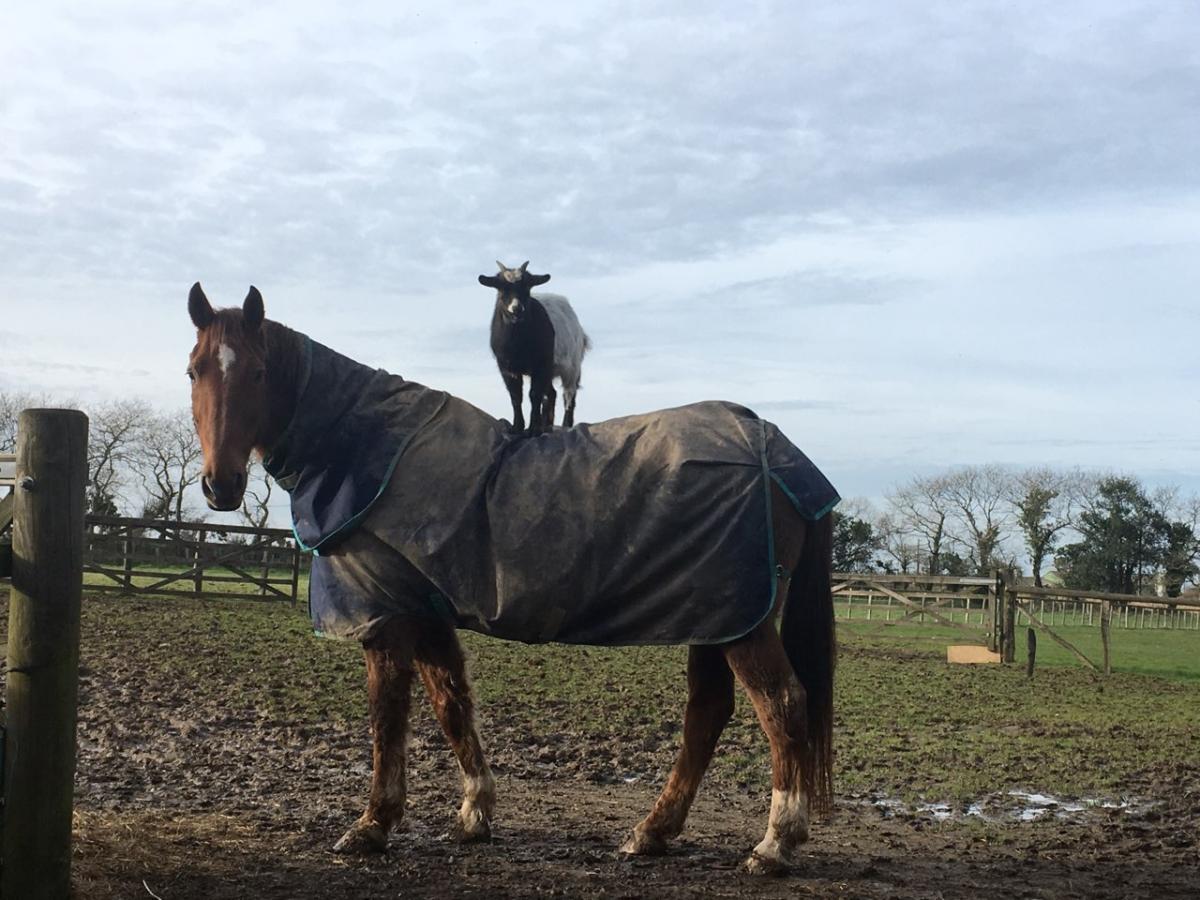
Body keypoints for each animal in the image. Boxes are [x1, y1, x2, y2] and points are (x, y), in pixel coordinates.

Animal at [185, 283, 838, 875]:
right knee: (707, 714)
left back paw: (775, 843)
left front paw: (372, 825)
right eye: (195, 371)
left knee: (782, 705)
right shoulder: (426, 611)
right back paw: (652, 832)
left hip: (742, 623)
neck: (367, 448)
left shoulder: (386, 617)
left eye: (261, 372)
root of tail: (776, 448)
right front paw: (474, 814)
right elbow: (451, 704)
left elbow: (387, 717)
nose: (221, 486)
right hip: (717, 615)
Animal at [479, 261, 591, 434]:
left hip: (572, 366)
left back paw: (565, 426)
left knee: (569, 394)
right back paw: (547, 426)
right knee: (552, 393)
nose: (516, 308)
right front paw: (517, 427)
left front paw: (532, 428)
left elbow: (534, 394)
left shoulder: (540, 364)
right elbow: (516, 395)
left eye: (527, 287)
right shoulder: (507, 367)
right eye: (501, 288)